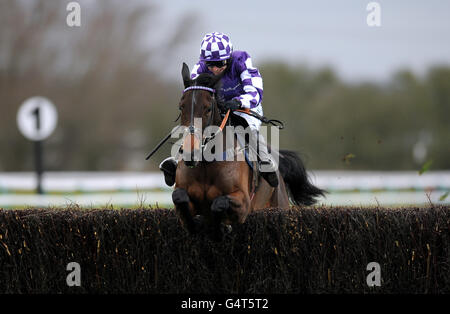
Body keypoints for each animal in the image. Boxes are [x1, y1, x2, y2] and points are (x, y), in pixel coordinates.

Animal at [171, 63, 324, 240]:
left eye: (208, 108)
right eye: (181, 106)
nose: (190, 153)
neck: (207, 164)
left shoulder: (244, 202)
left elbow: (219, 202)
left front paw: (220, 228)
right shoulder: (184, 195)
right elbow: (179, 197)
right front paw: (194, 225)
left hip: (279, 205)